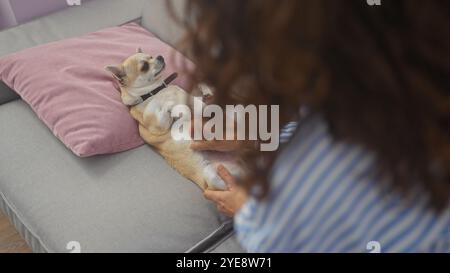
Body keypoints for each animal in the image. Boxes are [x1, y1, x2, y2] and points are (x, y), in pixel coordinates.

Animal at [105, 49, 243, 189]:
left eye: (151, 56)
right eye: (144, 66)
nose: (160, 57)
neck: (157, 90)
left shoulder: (195, 102)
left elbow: (199, 101)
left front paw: (204, 88)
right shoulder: (159, 125)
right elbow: (154, 108)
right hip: (212, 175)